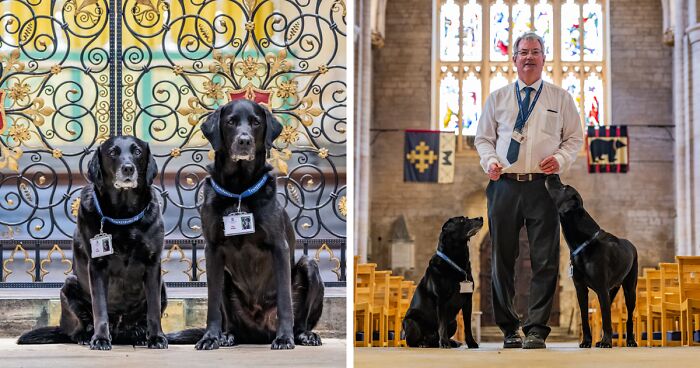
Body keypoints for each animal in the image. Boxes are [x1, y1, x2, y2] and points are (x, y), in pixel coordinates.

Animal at [18, 136, 167, 350]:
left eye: (137, 152)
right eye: (112, 152)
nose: (128, 168)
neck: (123, 215)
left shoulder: (153, 264)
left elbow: (153, 310)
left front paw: (156, 338)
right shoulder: (97, 266)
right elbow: (100, 308)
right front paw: (101, 339)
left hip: (163, 286)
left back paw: (140, 336)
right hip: (70, 285)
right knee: (77, 328)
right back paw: (85, 336)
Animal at [168, 100, 324, 350]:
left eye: (256, 122)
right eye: (230, 121)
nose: (244, 141)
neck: (239, 190)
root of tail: (258, 334)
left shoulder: (279, 247)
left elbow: (284, 300)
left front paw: (284, 338)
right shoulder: (212, 250)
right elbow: (212, 305)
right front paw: (210, 337)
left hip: (310, 266)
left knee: (300, 319)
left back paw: (303, 335)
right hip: (225, 279)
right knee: (230, 323)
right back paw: (226, 336)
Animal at [400, 217, 482, 350]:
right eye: (462, 220)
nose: (481, 218)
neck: (455, 260)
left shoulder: (468, 300)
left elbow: (468, 325)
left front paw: (471, 343)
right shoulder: (441, 299)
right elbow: (442, 324)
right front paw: (444, 343)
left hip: (453, 322)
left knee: (435, 339)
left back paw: (452, 342)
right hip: (411, 322)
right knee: (412, 341)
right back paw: (423, 343)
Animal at [544, 175, 636, 348]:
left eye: (564, 187)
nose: (553, 175)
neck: (583, 242)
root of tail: (631, 244)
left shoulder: (601, 288)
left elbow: (606, 318)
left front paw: (606, 342)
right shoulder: (580, 288)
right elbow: (585, 317)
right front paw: (587, 341)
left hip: (630, 289)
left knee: (629, 317)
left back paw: (631, 341)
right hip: (612, 290)